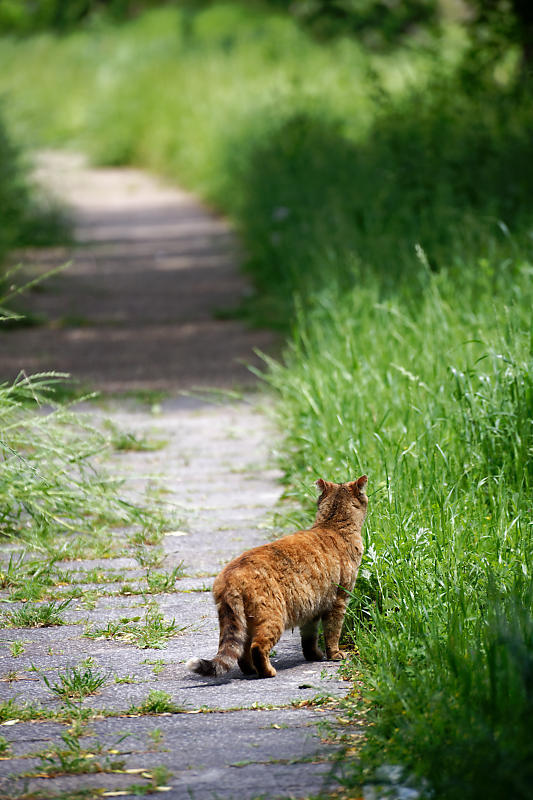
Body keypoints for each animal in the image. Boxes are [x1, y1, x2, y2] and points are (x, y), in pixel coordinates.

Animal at [186, 476, 366, 680]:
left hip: (243, 622)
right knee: (257, 647)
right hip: (273, 617)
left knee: (242, 651)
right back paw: (267, 672)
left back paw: (251, 670)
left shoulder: (312, 609)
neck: (333, 525)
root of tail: (229, 576)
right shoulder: (338, 601)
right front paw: (334, 654)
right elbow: (333, 632)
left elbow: (309, 638)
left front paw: (313, 656)